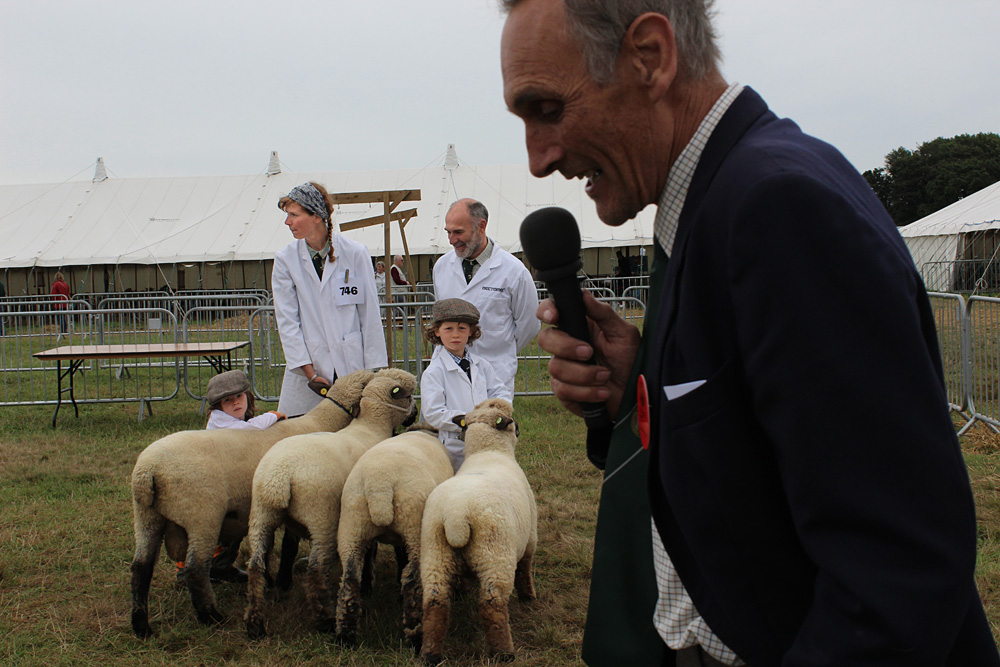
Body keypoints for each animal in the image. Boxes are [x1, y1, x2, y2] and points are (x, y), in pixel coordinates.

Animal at [127, 368, 374, 640]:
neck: (320, 423)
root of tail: (147, 471)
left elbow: (266, 551)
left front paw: (270, 581)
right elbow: (288, 546)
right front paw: (281, 582)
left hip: (146, 516)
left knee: (140, 568)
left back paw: (141, 626)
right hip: (201, 515)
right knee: (194, 569)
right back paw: (211, 616)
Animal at [244, 368, 416, 640]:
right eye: (408, 395)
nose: (415, 413)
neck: (369, 426)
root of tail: (280, 477)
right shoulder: (357, 515)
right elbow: (370, 552)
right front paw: (367, 584)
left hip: (260, 515)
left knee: (255, 565)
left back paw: (255, 624)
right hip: (320, 517)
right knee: (315, 569)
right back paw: (323, 620)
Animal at [336, 426, 454, 648]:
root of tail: (379, 487)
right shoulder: (407, 535)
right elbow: (402, 560)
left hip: (352, 526)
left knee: (350, 577)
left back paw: (345, 636)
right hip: (415, 528)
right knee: (411, 580)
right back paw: (415, 636)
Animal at [416, 400, 536, 664]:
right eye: (512, 420)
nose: (520, 430)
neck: (488, 453)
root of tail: (456, 516)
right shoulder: (531, 538)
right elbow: (525, 569)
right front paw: (529, 597)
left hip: (435, 552)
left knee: (435, 602)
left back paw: (430, 653)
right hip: (495, 555)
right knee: (492, 604)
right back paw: (504, 653)